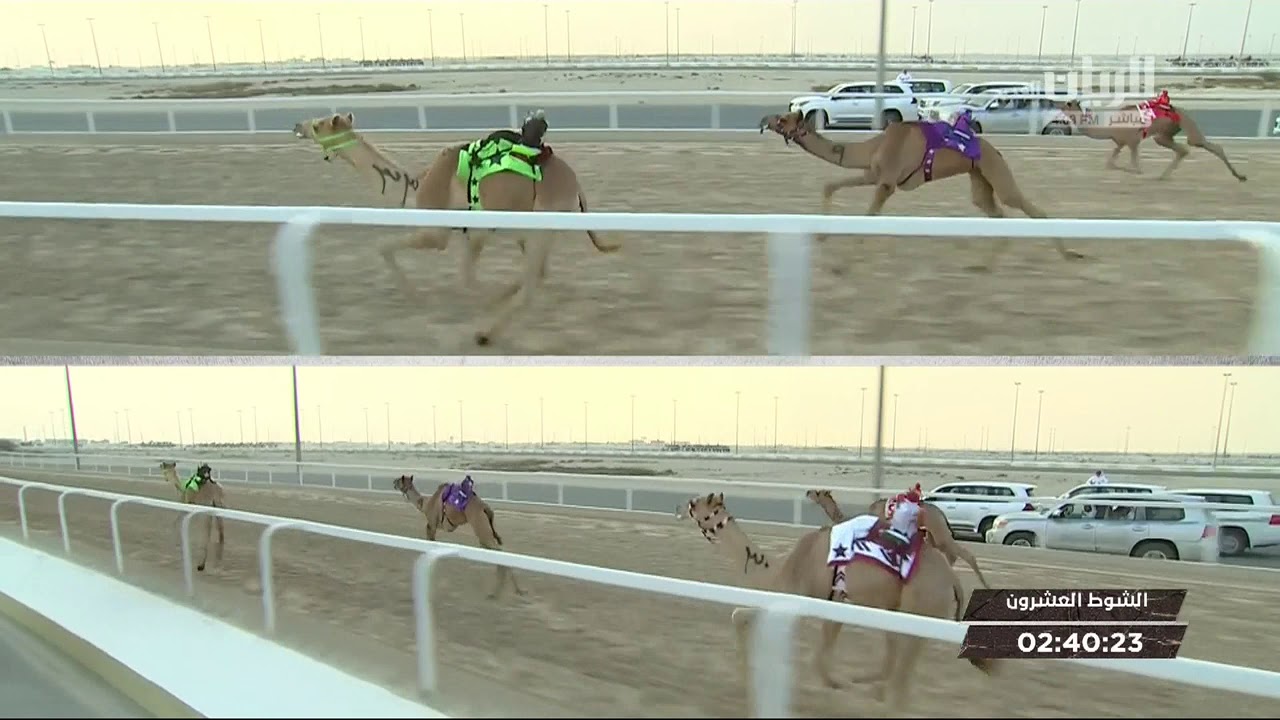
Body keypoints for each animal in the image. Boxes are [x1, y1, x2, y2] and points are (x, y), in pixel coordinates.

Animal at [293, 111, 619, 346]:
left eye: (319, 125)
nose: (297, 125)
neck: (414, 185)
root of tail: (576, 184)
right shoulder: (472, 232)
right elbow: (467, 276)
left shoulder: (439, 232)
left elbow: (391, 249)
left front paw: (415, 294)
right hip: (536, 228)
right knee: (538, 272)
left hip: (541, 222)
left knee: (530, 284)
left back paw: (485, 334)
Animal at [392, 474, 524, 599]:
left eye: (399, 480)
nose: (393, 482)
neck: (425, 504)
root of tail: (485, 507)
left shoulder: (432, 525)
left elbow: (430, 543)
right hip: (487, 530)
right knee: (499, 550)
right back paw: (513, 590)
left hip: (480, 526)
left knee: (499, 550)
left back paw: (497, 592)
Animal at [758, 110, 1085, 272]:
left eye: (784, 119)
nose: (764, 120)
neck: (874, 146)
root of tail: (996, 150)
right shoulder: (873, 174)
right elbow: (829, 185)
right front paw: (822, 235)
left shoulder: (886, 183)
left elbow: (867, 220)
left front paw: (841, 266)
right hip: (979, 178)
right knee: (995, 212)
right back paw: (980, 266)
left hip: (995, 171)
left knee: (1025, 205)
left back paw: (1071, 254)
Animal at [804, 489, 993, 589]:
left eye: (818, 493)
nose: (808, 492)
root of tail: (941, 514)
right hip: (933, 535)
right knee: (950, 555)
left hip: (939, 531)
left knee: (964, 554)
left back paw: (987, 586)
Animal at [1057, 96, 1246, 182]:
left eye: (1068, 103)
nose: (1056, 103)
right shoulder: (1121, 143)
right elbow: (1110, 164)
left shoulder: (1132, 141)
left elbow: (1134, 166)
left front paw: (1140, 173)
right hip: (1165, 135)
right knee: (1182, 149)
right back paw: (1162, 176)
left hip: (1186, 125)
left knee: (1200, 144)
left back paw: (1240, 176)